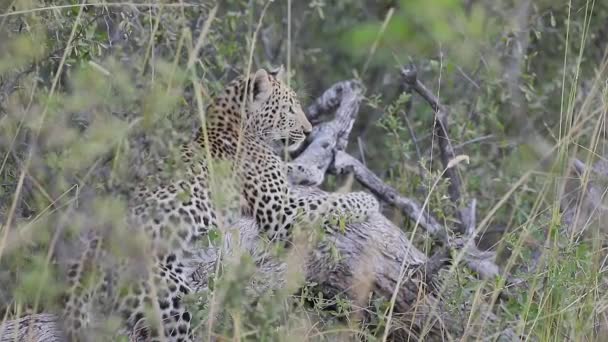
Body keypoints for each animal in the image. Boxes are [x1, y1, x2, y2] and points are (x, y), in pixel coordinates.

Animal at [60, 65, 376, 340]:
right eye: (288, 109)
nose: (309, 130)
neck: (233, 123)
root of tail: (93, 251)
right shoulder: (281, 213)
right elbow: (331, 204)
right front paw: (367, 200)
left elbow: (288, 168)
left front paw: (308, 171)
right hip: (170, 296)